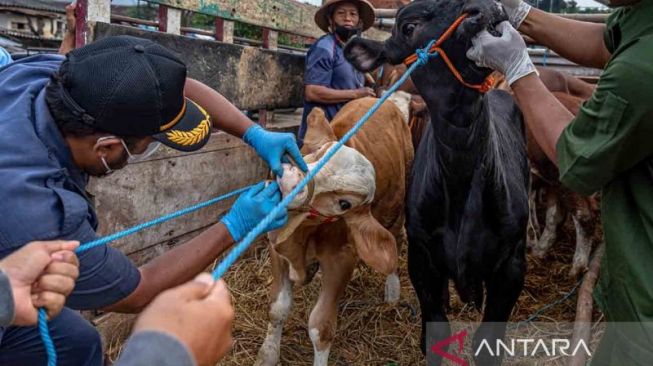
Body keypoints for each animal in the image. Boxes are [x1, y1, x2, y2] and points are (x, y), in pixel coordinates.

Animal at [255, 98, 412, 366]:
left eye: (345, 204)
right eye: (319, 153)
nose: (290, 181)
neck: (302, 235)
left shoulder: (341, 260)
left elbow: (321, 328)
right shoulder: (277, 249)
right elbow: (277, 307)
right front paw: (267, 355)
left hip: (398, 205)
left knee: (397, 240)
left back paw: (392, 291)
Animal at [344, 0, 528, 366]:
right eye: (408, 26)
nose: (484, 8)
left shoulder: (513, 263)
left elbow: (489, 341)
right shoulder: (421, 255)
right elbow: (435, 332)